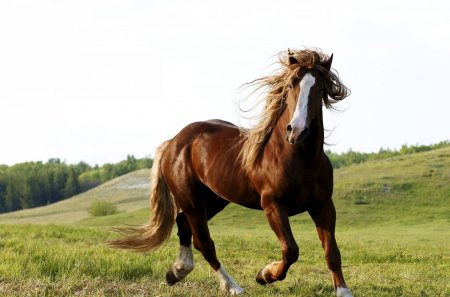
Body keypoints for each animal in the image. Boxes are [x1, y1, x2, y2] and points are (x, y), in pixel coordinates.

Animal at [108, 47, 352, 294]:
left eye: (320, 89)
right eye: (291, 84)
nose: (296, 131)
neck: (299, 159)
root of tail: (173, 142)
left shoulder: (323, 205)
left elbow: (332, 252)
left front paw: (343, 291)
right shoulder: (273, 205)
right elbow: (291, 250)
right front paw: (264, 275)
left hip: (213, 200)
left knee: (184, 225)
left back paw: (176, 272)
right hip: (191, 200)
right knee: (204, 243)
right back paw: (232, 286)